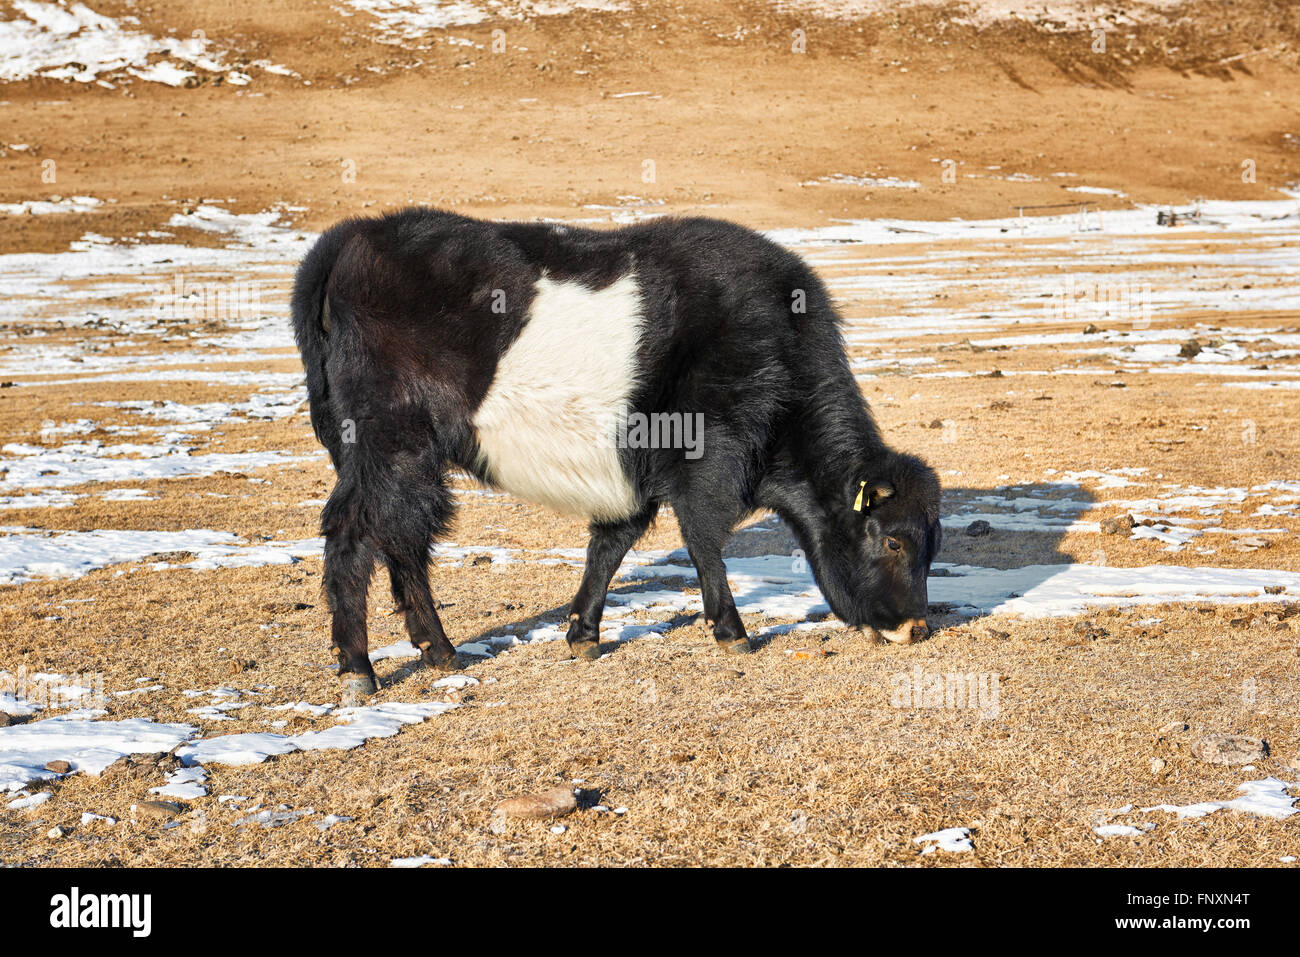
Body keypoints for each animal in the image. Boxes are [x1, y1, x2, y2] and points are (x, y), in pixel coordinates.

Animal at [293, 208, 941, 696]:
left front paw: (582, 633)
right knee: (356, 533)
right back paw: (360, 668)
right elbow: (703, 538)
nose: (916, 628)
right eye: (893, 541)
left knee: (404, 537)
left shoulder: (636, 476)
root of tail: (354, 235)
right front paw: (732, 631)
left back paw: (439, 651)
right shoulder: (708, 461)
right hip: (388, 444)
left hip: (409, 460)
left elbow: (611, 544)